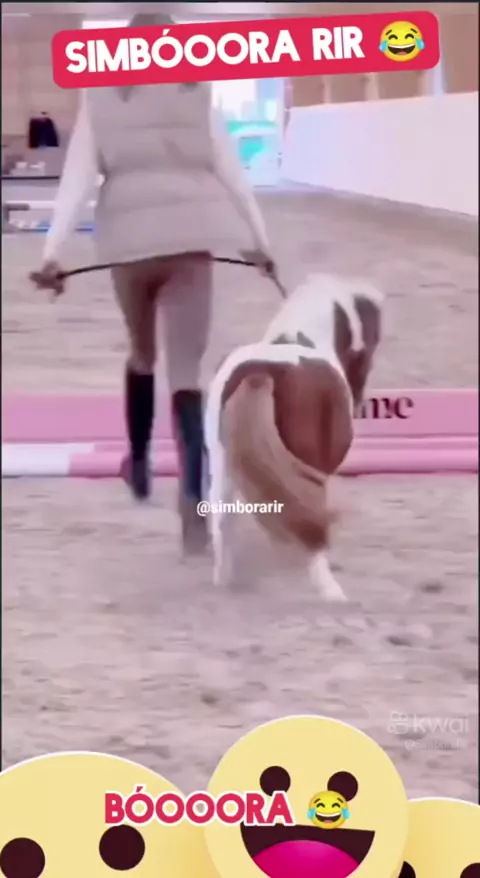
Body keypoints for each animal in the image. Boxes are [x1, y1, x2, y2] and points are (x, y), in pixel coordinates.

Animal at [204, 273, 383, 600]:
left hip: (222, 466)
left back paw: (225, 584)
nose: (359, 400)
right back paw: (331, 591)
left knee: (222, 522)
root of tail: (260, 374)